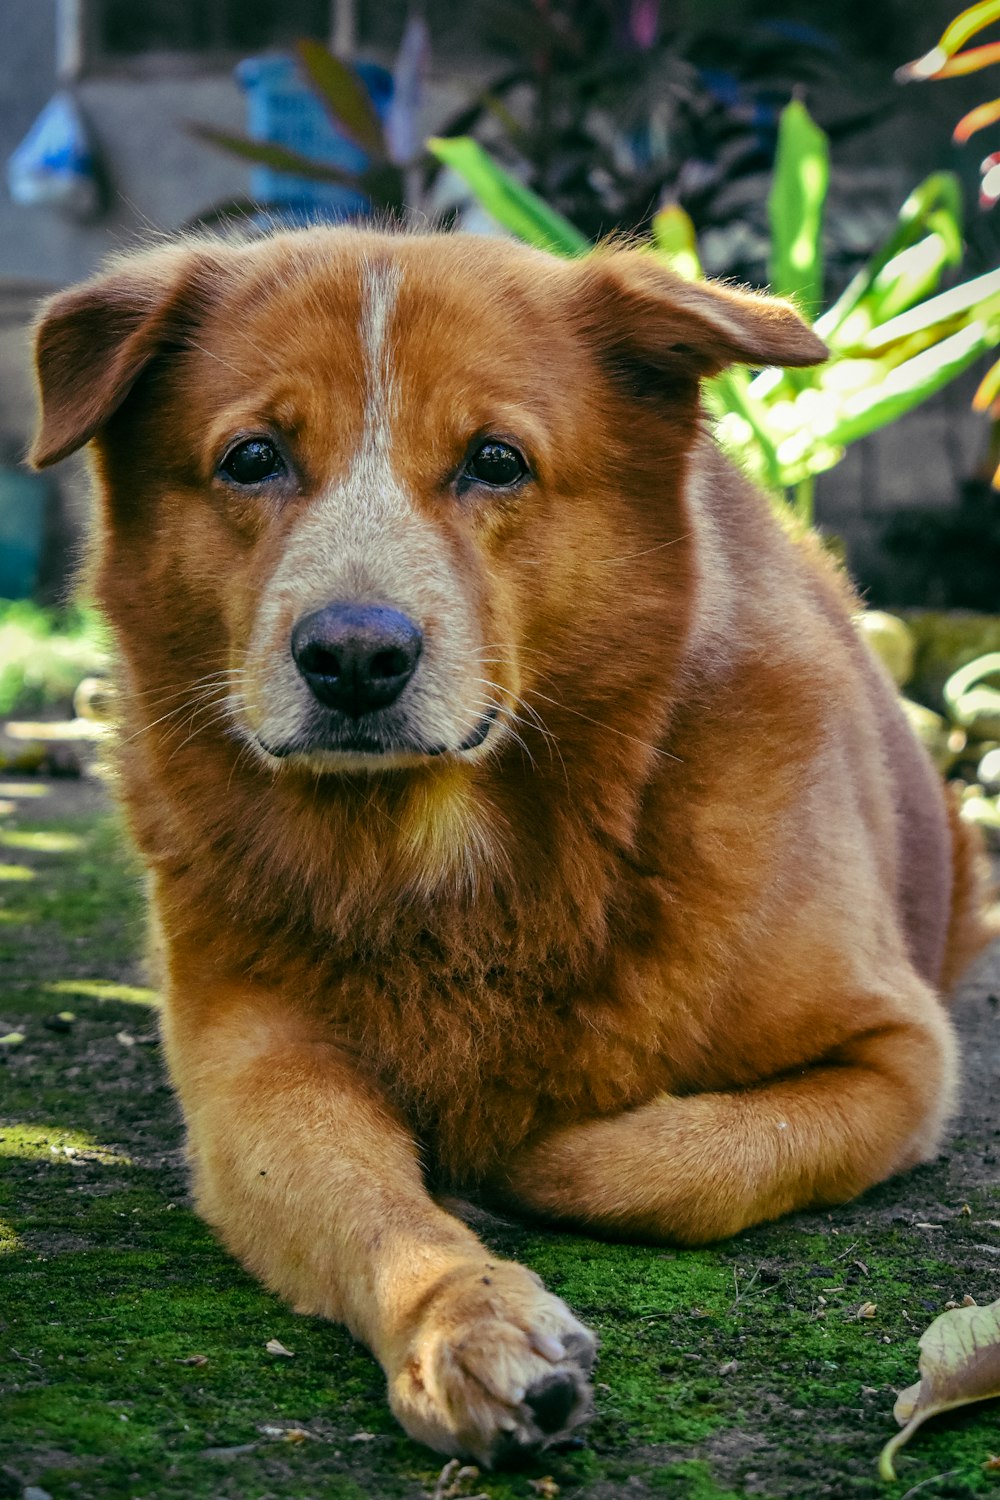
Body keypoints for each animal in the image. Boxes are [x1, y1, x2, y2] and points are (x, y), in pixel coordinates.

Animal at [31, 231, 995, 1464]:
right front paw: (462, 1316)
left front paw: (512, 1158)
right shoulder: (254, 1075)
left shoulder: (899, 1055)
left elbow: (677, 1162)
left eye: (496, 461)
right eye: (252, 458)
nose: (353, 657)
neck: (442, 855)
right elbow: (368, 1201)